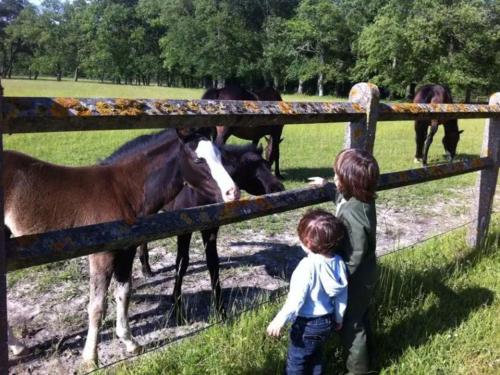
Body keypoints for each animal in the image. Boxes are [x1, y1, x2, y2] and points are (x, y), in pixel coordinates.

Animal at [3, 128, 238, 366]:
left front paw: (130, 342)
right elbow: (97, 306)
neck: (122, 190)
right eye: (198, 160)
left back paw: (18, 347)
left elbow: (123, 293)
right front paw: (91, 358)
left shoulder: (127, 250)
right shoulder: (102, 254)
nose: (233, 192)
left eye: (221, 156)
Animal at [135, 144, 286, 320]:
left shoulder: (211, 228)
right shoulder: (184, 231)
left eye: (268, 164)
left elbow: (213, 263)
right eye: (248, 167)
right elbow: (182, 263)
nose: (278, 188)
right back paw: (146, 268)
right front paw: (177, 310)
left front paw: (221, 311)